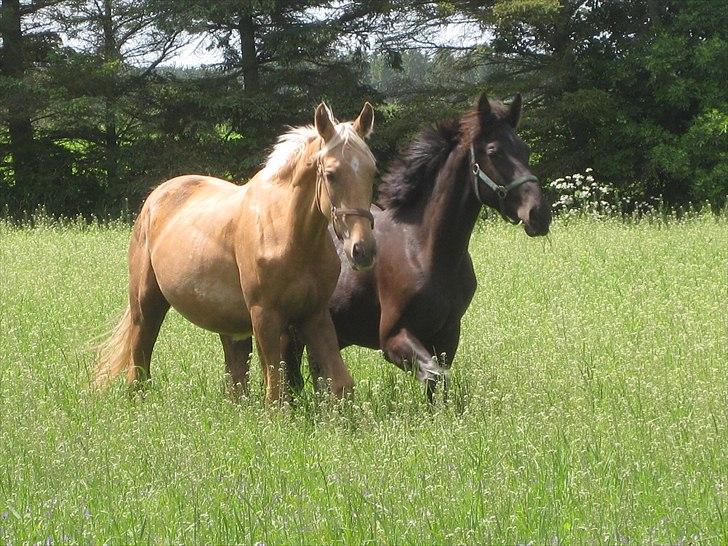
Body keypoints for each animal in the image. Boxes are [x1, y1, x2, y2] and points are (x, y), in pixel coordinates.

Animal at [94, 102, 378, 400]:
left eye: (372, 171)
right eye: (331, 174)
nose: (363, 250)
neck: (290, 235)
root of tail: (155, 196)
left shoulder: (314, 314)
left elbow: (340, 384)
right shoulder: (264, 315)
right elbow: (275, 393)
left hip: (230, 326)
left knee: (235, 377)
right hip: (146, 304)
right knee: (139, 361)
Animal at [284, 93, 552, 398]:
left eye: (525, 149)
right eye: (494, 152)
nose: (538, 214)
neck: (425, 250)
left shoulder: (447, 336)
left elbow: (438, 383)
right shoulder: (393, 337)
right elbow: (436, 376)